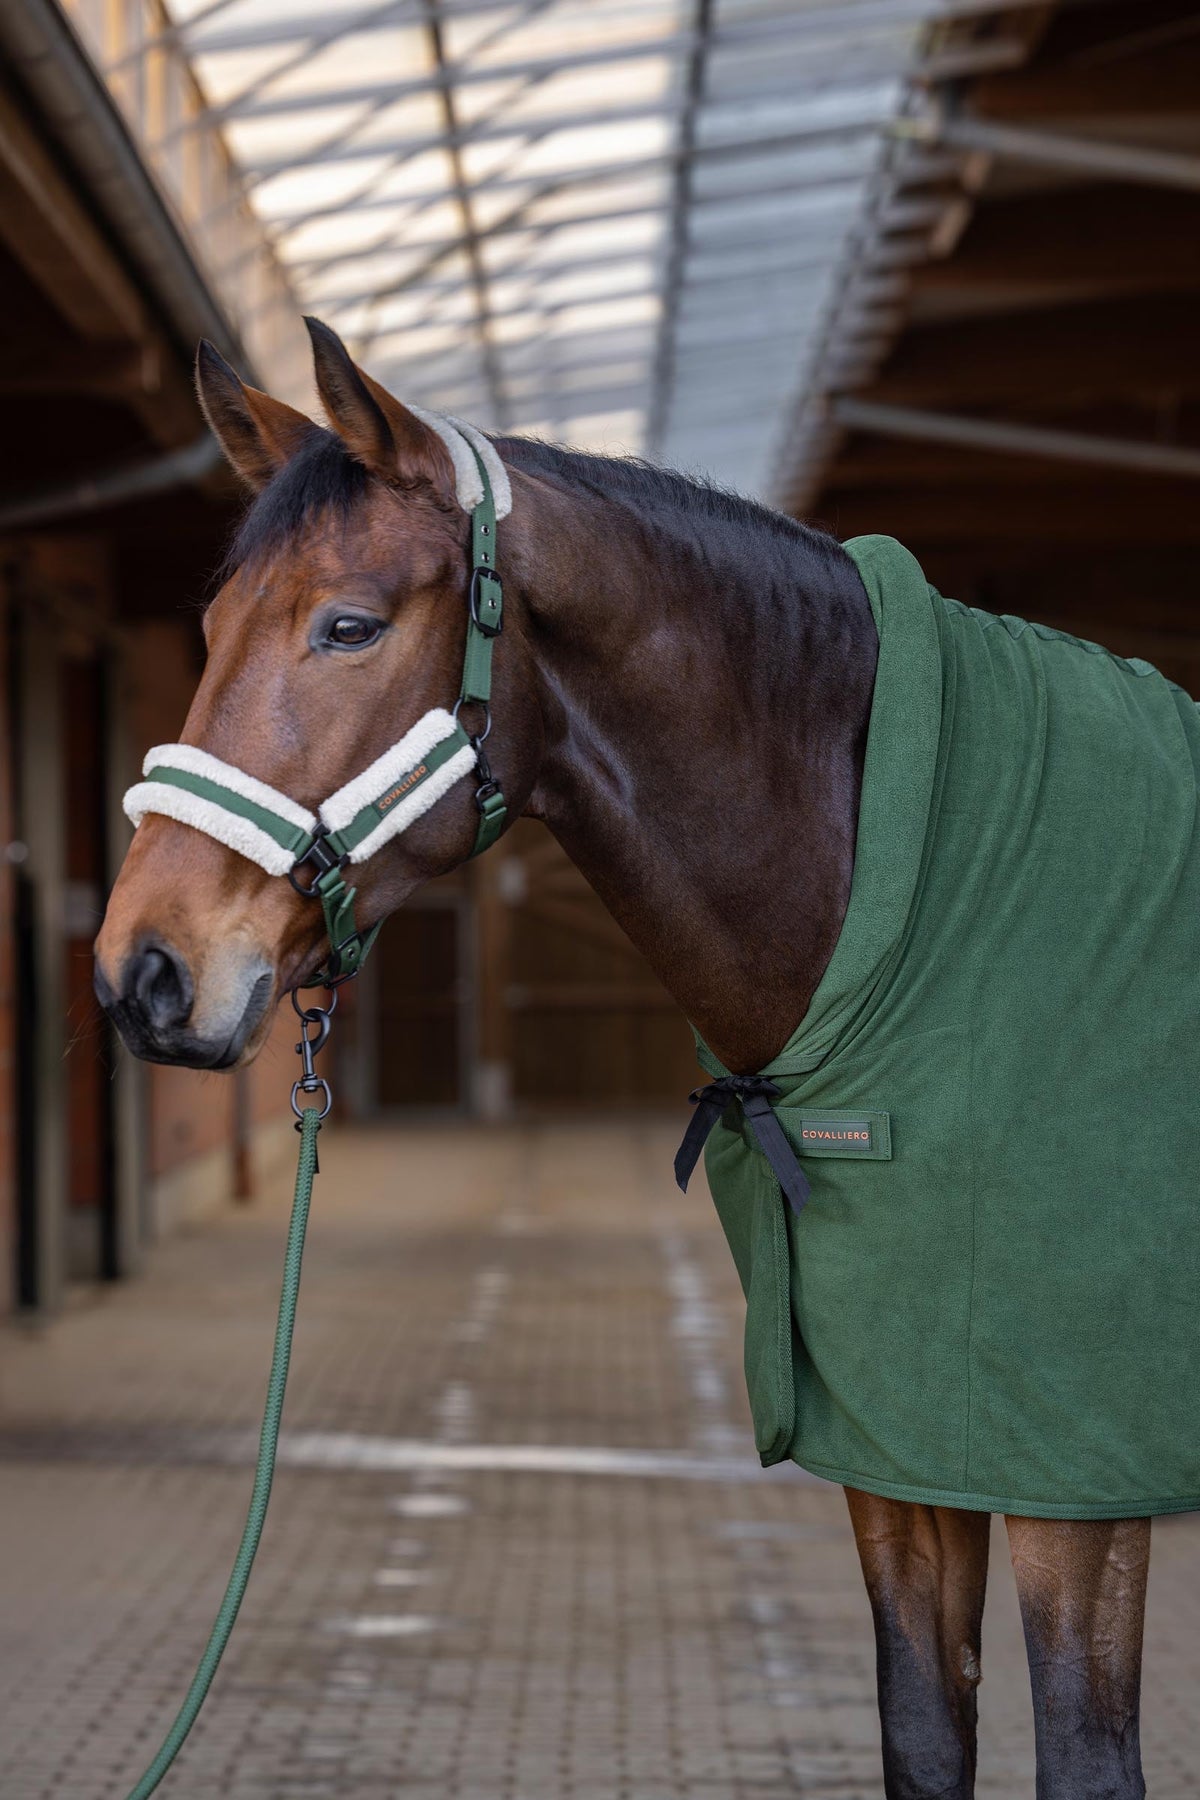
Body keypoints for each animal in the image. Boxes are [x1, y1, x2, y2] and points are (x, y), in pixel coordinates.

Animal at [94, 317, 1168, 1800]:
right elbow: (920, 1732)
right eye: (203, 632)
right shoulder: (902, 1451)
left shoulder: (1080, 1475)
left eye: (348, 624)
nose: (142, 971)